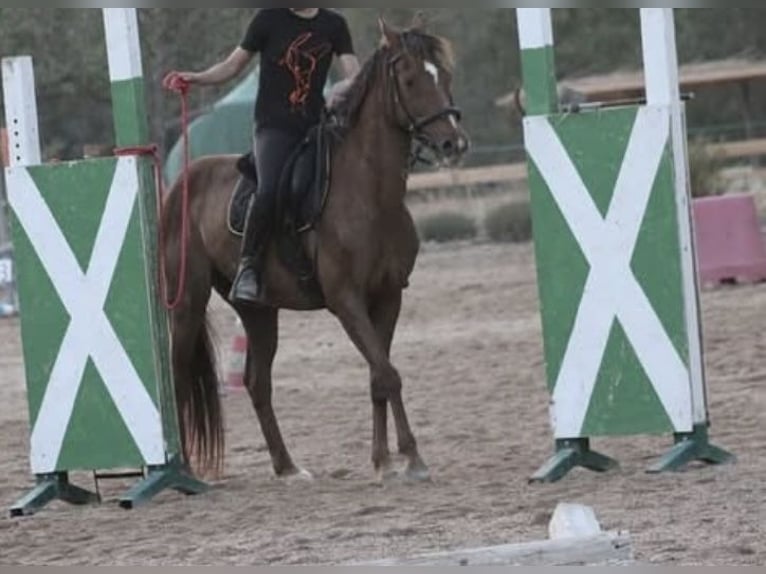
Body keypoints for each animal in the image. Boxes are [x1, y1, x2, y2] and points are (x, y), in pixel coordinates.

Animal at [164, 16, 472, 486]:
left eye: (445, 77)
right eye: (410, 79)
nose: (452, 144)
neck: (369, 195)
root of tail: (182, 180)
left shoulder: (387, 297)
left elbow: (379, 375)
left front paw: (388, 460)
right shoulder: (347, 301)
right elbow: (388, 374)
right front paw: (407, 459)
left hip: (258, 310)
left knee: (257, 382)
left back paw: (287, 466)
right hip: (187, 303)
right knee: (180, 375)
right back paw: (183, 469)